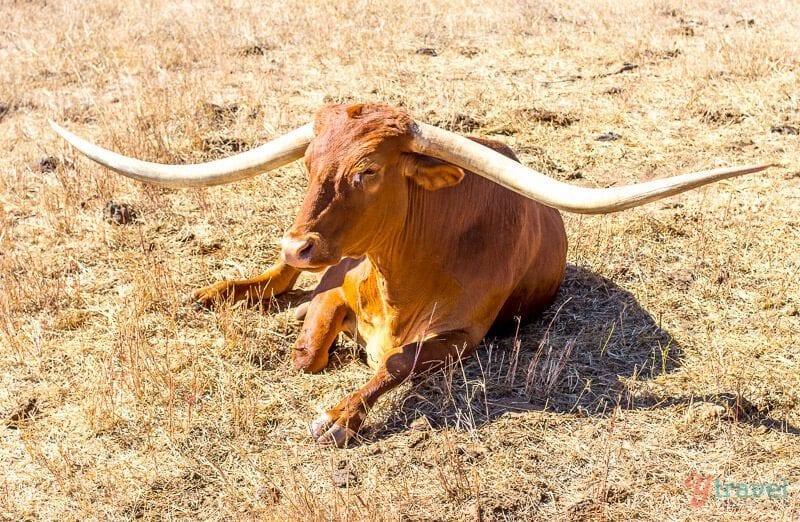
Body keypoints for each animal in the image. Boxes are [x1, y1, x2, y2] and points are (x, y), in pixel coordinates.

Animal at [50, 103, 768, 444]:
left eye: (368, 170)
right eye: (309, 163)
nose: (298, 241)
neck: (406, 276)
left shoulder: (464, 335)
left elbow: (395, 363)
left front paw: (338, 417)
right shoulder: (338, 285)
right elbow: (307, 350)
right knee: (276, 284)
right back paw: (215, 293)